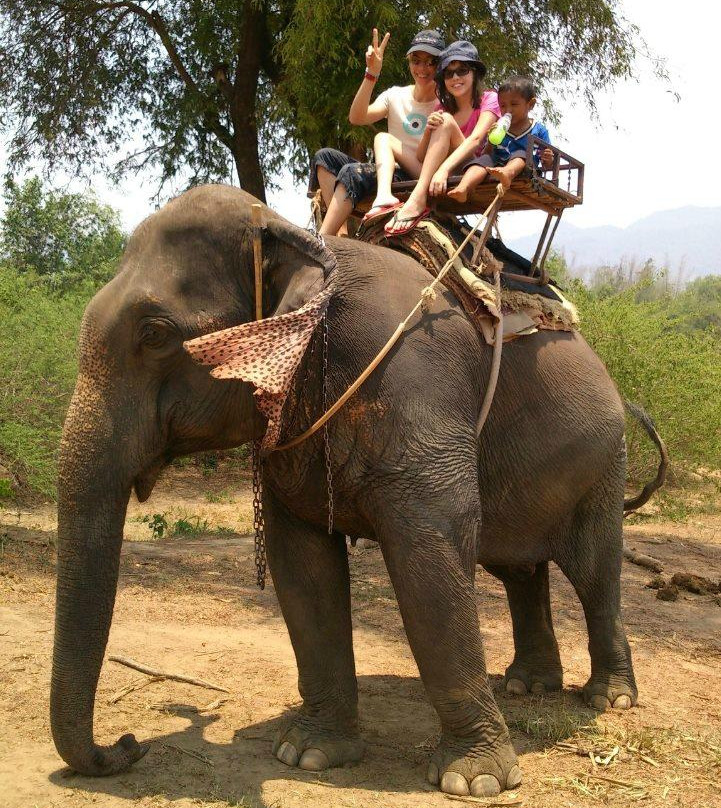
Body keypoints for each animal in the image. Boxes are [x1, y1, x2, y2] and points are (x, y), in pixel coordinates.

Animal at [53, 184, 652, 798]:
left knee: (593, 569)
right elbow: (303, 568)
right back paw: (528, 686)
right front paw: (308, 754)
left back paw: (610, 698)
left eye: (155, 335)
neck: (294, 240)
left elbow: (429, 561)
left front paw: (474, 782)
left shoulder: (416, 387)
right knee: (519, 569)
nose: (126, 744)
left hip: (605, 463)